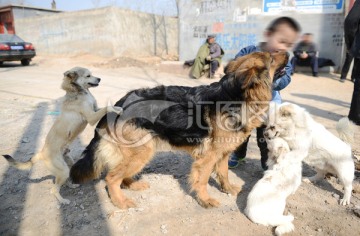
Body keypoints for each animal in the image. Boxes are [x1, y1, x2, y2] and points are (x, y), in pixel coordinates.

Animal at [2, 67, 122, 205]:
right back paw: (63, 200)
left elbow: (104, 107)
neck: (77, 92)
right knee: (54, 189)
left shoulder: (95, 109)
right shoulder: (91, 117)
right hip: (63, 170)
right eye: (88, 76)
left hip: (68, 165)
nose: (99, 79)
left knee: (63, 182)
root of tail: (41, 153)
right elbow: (106, 108)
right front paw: (117, 108)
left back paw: (71, 185)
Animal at [71, 51, 290, 208]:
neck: (236, 96)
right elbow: (202, 180)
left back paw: (133, 184)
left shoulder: (223, 153)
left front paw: (227, 189)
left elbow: (224, 173)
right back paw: (120, 201)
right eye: (272, 57)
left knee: (120, 175)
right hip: (142, 151)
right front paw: (205, 200)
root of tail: (119, 103)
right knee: (111, 177)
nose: (288, 52)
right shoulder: (208, 157)